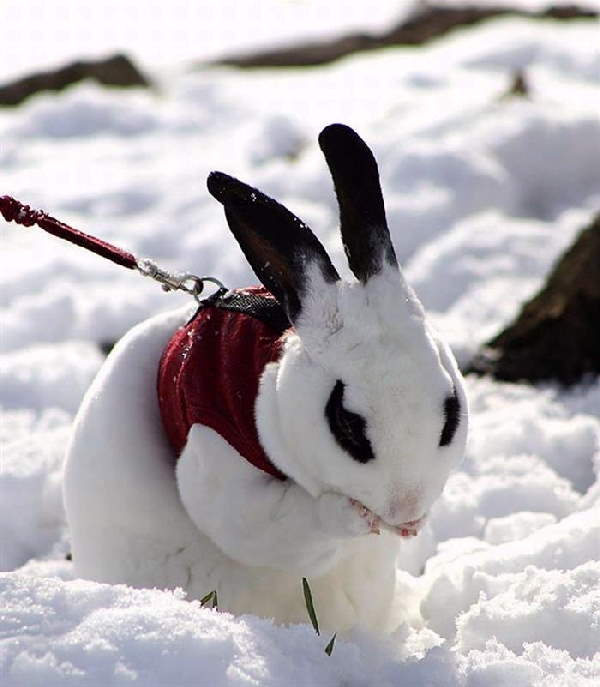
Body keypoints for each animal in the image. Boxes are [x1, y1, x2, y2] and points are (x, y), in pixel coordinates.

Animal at [64, 123, 468, 636]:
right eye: (346, 423)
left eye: (451, 412)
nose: (406, 512)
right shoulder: (218, 458)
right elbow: (266, 525)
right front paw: (353, 514)